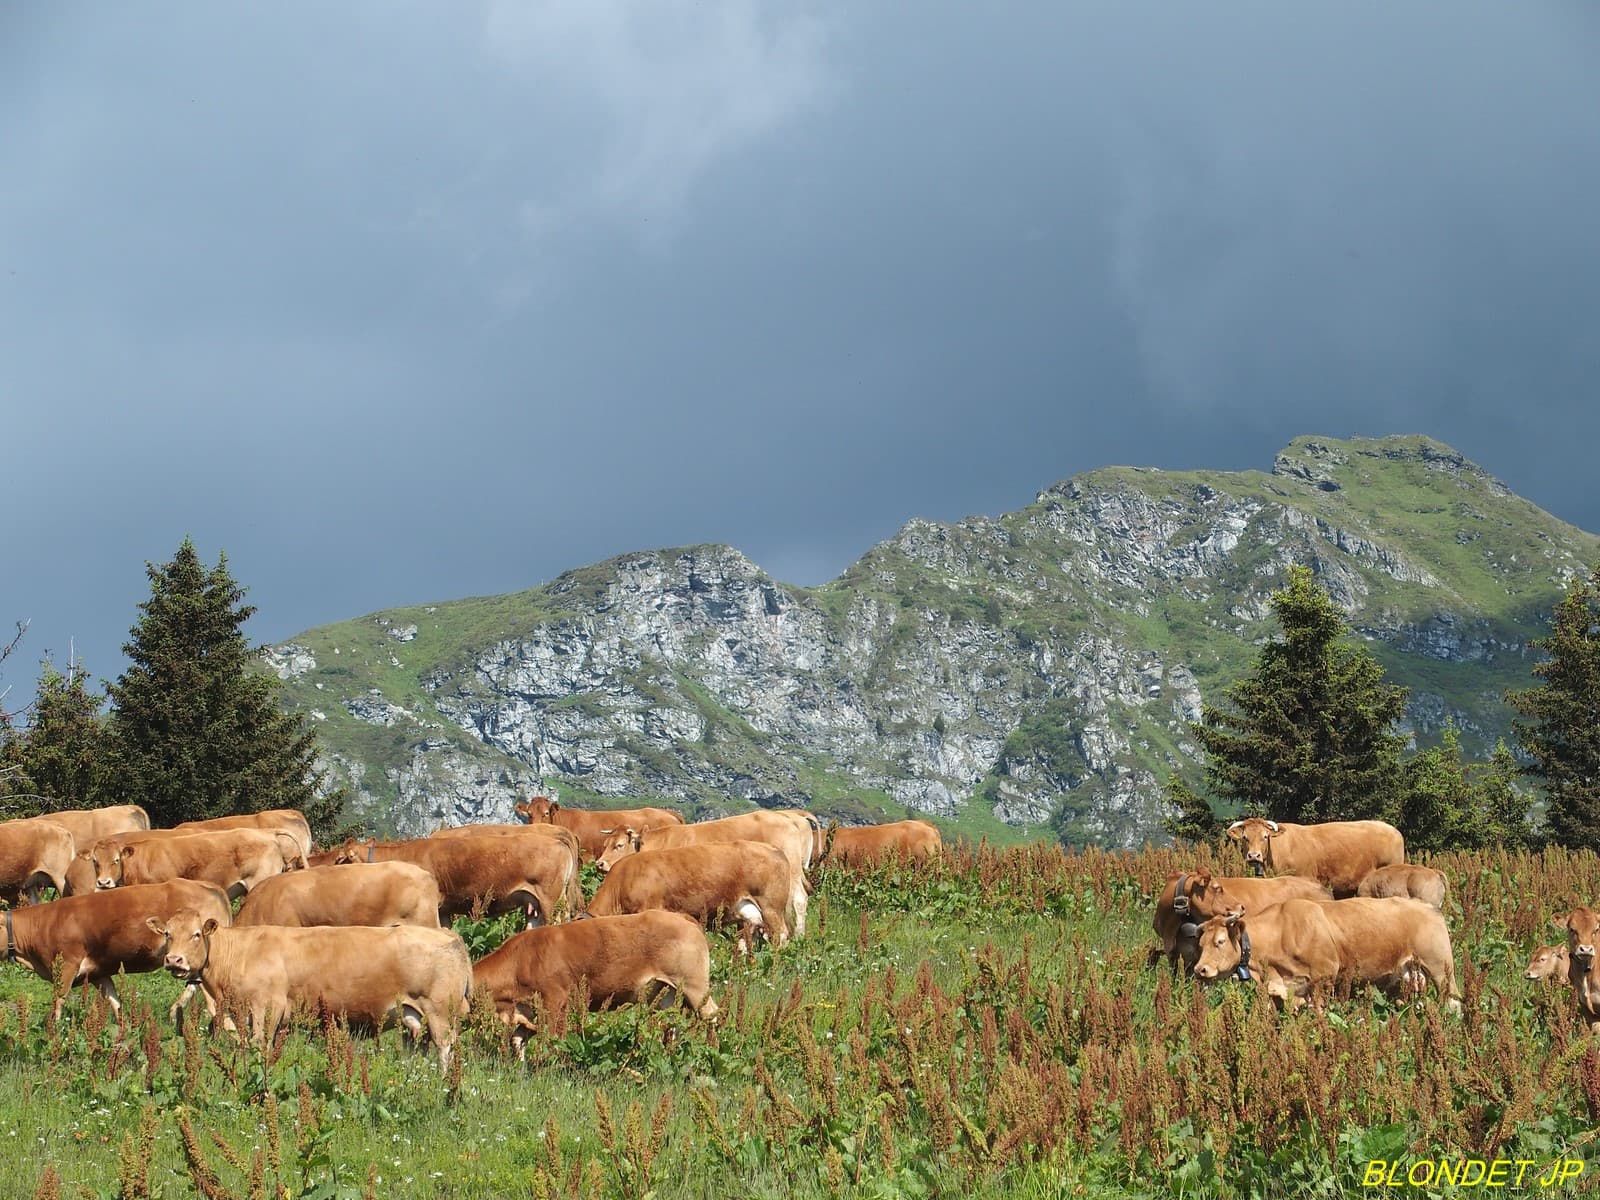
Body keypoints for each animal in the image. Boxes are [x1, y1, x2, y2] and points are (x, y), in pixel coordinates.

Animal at [2, 878, 231, 1021]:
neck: (44, 923)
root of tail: (210, 886)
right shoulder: (98, 974)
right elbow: (115, 1003)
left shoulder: (66, 966)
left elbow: (57, 1005)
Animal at [149, 909, 471, 1067]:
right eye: (167, 934)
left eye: (196, 934)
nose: (174, 960)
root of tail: (448, 934)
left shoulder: (266, 1007)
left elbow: (259, 1045)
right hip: (413, 1015)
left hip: (441, 1012)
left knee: (445, 1048)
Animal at [472, 910, 718, 1059]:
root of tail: (680, 916)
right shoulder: (530, 1010)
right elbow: (518, 1039)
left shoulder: (555, 1001)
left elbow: (553, 1041)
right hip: (666, 993)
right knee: (672, 1024)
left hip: (695, 986)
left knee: (712, 1016)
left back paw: (713, 1052)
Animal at [595, 809, 814, 937]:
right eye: (604, 844)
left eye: (619, 845)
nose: (599, 864)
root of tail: (790, 818)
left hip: (792, 874)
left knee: (799, 901)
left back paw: (799, 936)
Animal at [1191, 896, 1460, 1011]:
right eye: (1201, 943)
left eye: (1220, 941)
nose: (1200, 969)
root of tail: (1427, 906)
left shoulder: (1324, 977)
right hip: (1406, 978)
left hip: (1441, 968)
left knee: (1453, 1001)